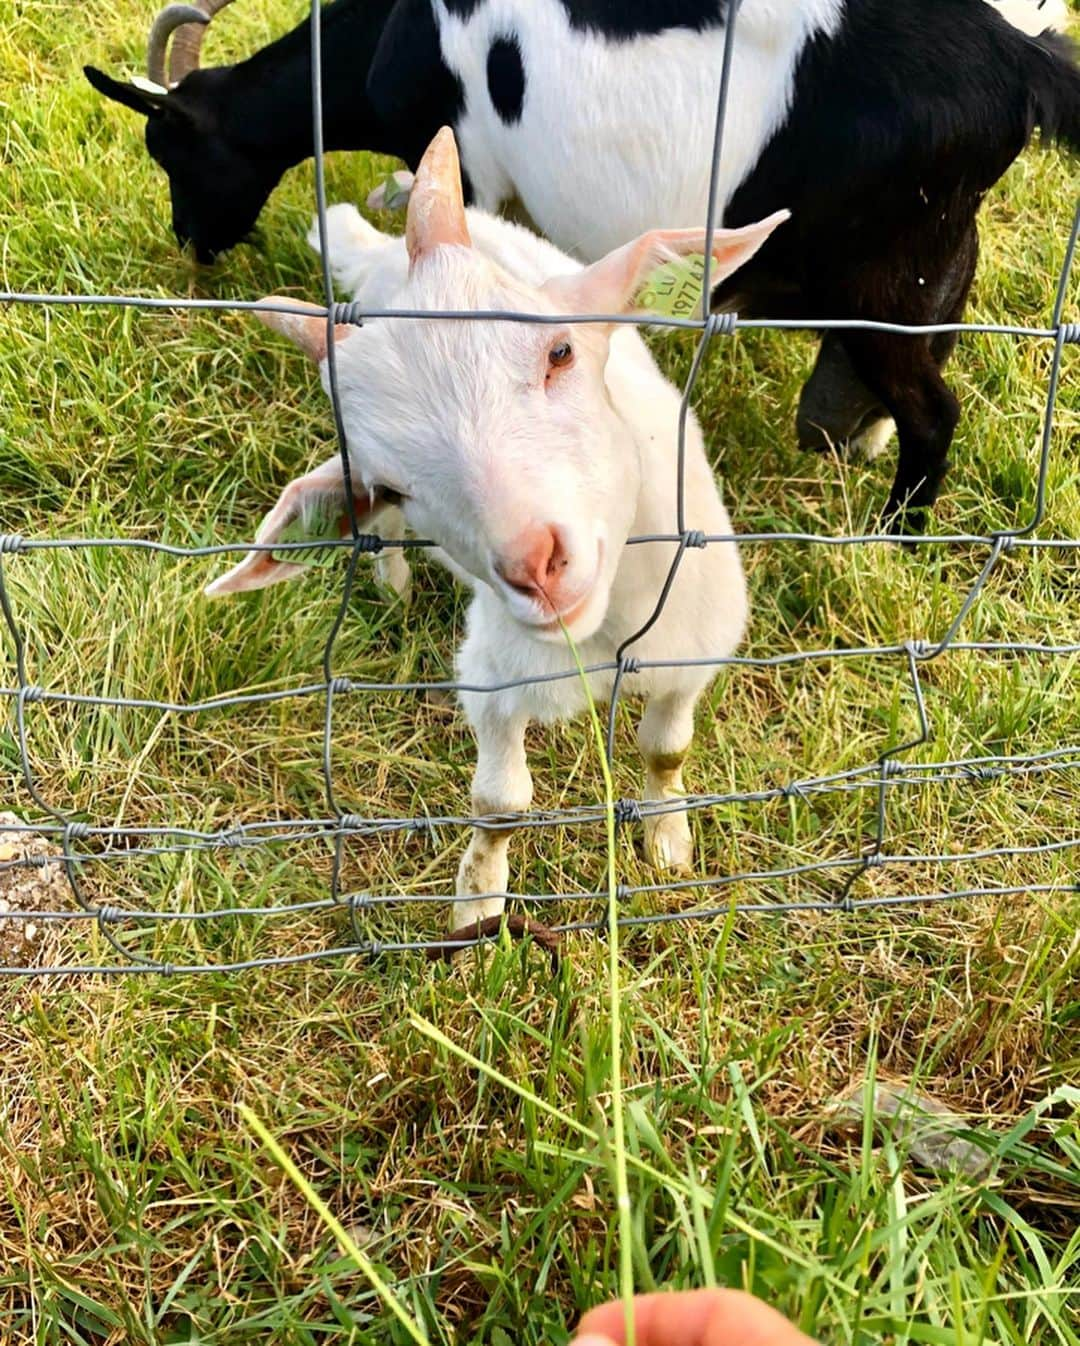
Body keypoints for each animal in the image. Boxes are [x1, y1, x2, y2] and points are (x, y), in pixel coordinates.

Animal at [204, 133, 781, 936]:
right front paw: (478, 905)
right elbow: (500, 805)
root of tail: (384, 257)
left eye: (560, 353)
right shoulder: (494, 675)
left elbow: (667, 750)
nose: (535, 566)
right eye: (391, 484)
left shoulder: (695, 648)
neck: (604, 639)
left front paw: (668, 842)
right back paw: (392, 582)